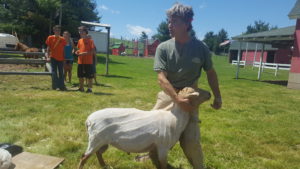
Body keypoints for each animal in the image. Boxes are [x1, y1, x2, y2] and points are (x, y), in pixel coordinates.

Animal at [77, 87, 211, 169]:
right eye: (197, 91)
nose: (210, 93)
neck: (175, 118)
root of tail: (88, 120)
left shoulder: (157, 147)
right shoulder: (163, 147)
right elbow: (163, 165)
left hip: (103, 142)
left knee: (98, 153)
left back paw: (104, 165)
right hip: (96, 139)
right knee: (84, 157)